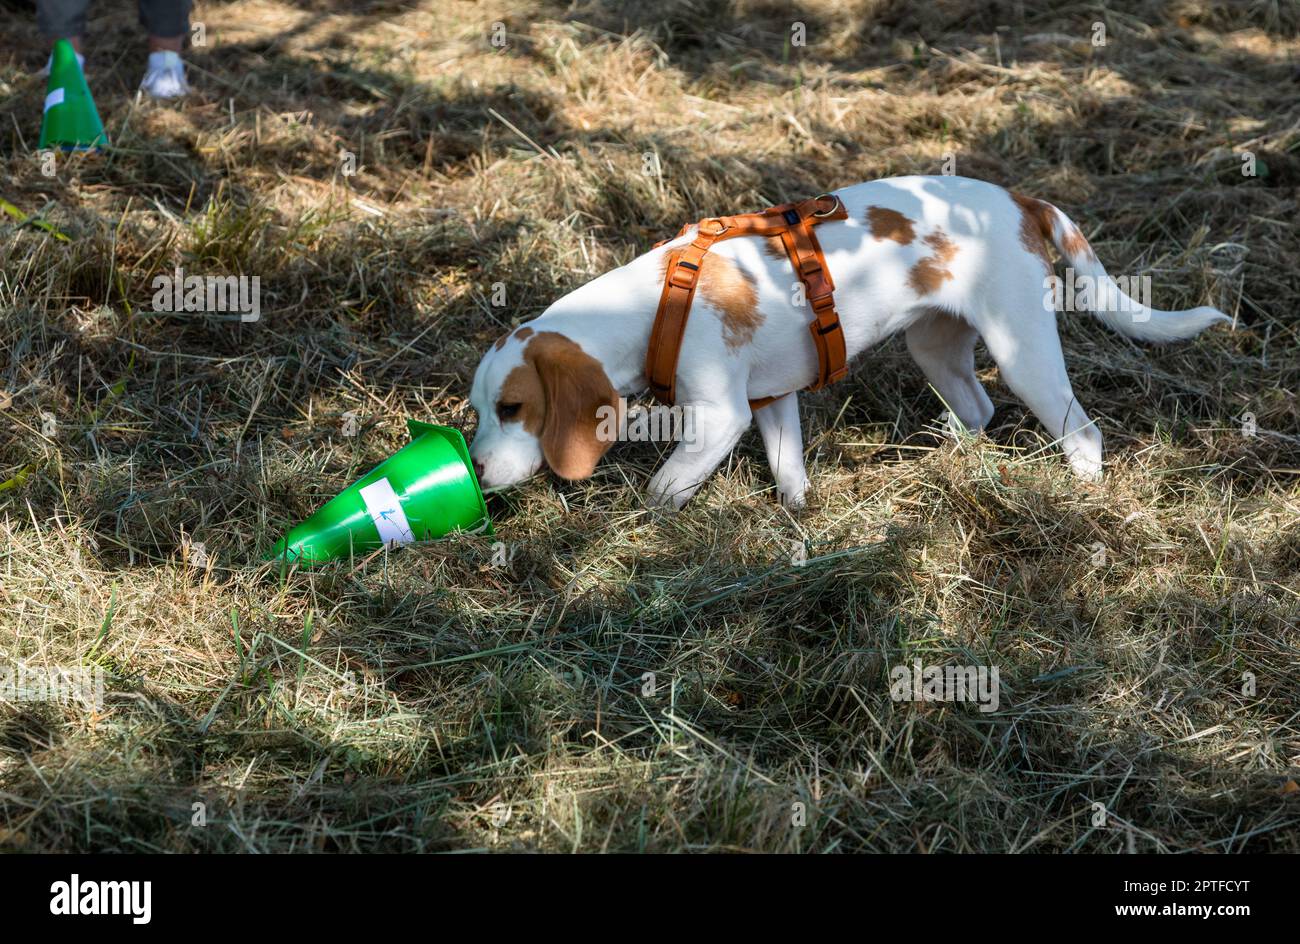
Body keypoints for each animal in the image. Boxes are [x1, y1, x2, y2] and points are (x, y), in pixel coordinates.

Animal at [467, 172, 1227, 507]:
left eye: (513, 410)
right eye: (478, 412)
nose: (472, 468)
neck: (656, 302)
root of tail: (1022, 201)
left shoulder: (719, 418)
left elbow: (664, 486)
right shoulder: (772, 401)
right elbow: (789, 475)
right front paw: (798, 523)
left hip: (1022, 352)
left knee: (1083, 433)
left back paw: (1082, 495)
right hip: (935, 347)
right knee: (978, 410)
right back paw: (948, 459)